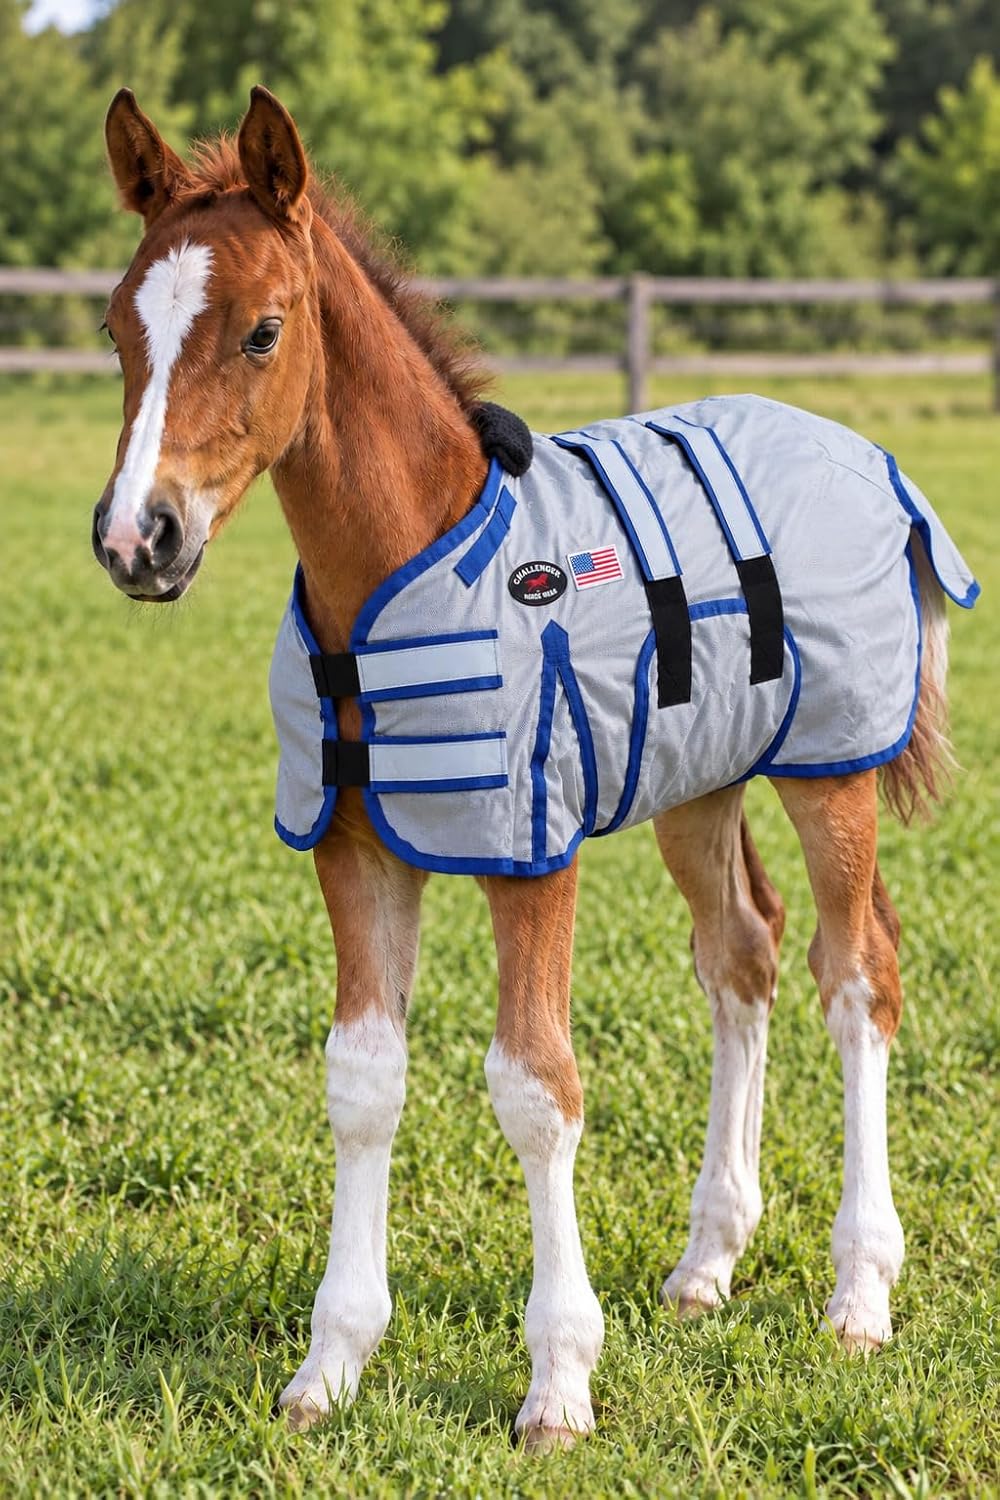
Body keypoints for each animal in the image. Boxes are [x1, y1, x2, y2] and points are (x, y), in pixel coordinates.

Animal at [92, 86, 978, 1451]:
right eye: (116, 329)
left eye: (260, 332)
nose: (140, 538)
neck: (400, 570)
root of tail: (869, 459)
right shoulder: (357, 847)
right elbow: (362, 1080)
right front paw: (328, 1368)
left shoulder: (529, 847)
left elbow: (533, 1086)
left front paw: (559, 1383)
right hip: (697, 783)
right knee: (744, 958)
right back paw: (707, 1261)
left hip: (831, 770)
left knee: (855, 974)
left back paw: (858, 1294)